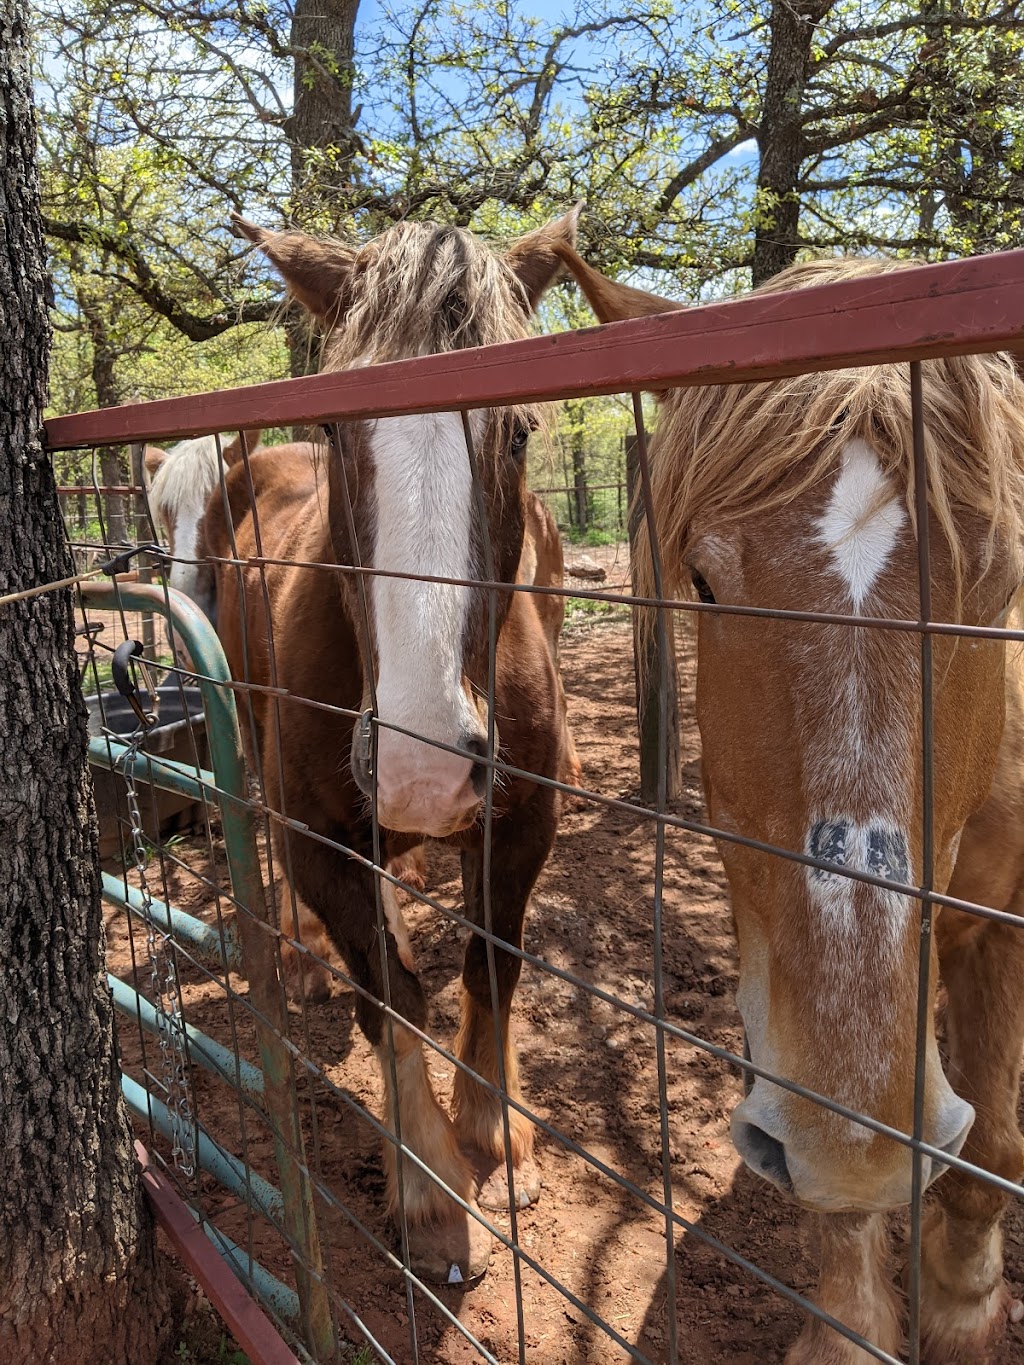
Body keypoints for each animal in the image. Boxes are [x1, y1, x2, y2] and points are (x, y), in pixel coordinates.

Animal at [202, 207, 584, 1283]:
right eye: (337, 426)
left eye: (521, 429)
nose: (424, 766)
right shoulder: (323, 843)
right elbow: (392, 1002)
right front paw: (432, 1191)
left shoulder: (522, 826)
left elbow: (490, 967)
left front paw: (494, 1131)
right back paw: (298, 957)